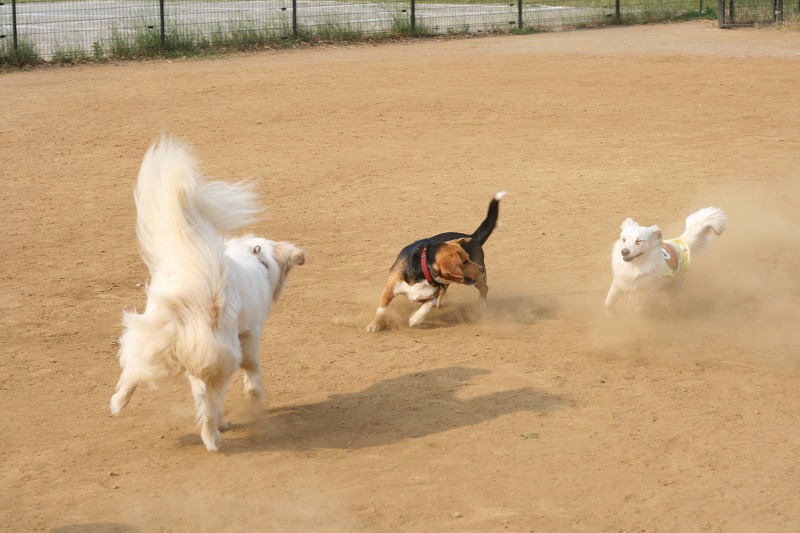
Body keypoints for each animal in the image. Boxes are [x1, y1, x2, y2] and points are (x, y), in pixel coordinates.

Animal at [109, 136, 304, 448]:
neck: (257, 259)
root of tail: (202, 285)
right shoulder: (249, 337)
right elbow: (253, 370)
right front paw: (255, 396)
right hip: (220, 359)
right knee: (209, 405)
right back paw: (213, 439)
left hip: (158, 337)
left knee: (134, 370)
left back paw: (118, 403)